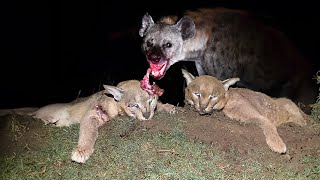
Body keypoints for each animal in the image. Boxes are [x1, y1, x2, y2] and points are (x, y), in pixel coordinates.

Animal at [0, 80, 175, 163]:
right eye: (134, 105)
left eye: (150, 101)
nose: (146, 115)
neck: (114, 102)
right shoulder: (92, 114)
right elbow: (89, 132)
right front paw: (82, 151)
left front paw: (167, 107)